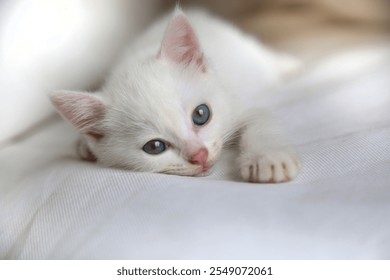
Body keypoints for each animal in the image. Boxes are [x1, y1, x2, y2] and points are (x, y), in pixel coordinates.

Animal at [50, 7, 302, 183]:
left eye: (201, 114)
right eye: (155, 147)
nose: (199, 155)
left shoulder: (238, 103)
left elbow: (260, 121)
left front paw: (268, 159)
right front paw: (84, 144)